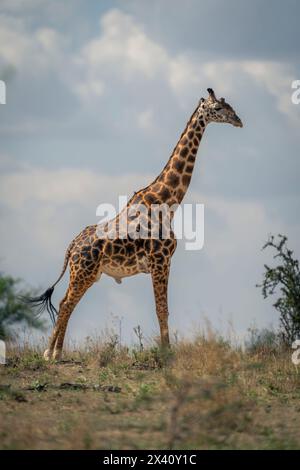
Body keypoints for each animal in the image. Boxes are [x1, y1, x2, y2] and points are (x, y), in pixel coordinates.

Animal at [24, 89, 243, 360]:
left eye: (229, 106)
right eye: (219, 108)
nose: (238, 120)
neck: (167, 202)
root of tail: (71, 247)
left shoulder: (161, 263)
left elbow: (163, 309)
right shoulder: (161, 261)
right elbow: (162, 309)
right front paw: (167, 355)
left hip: (88, 273)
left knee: (68, 302)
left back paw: (55, 352)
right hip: (83, 271)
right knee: (66, 303)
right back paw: (50, 353)